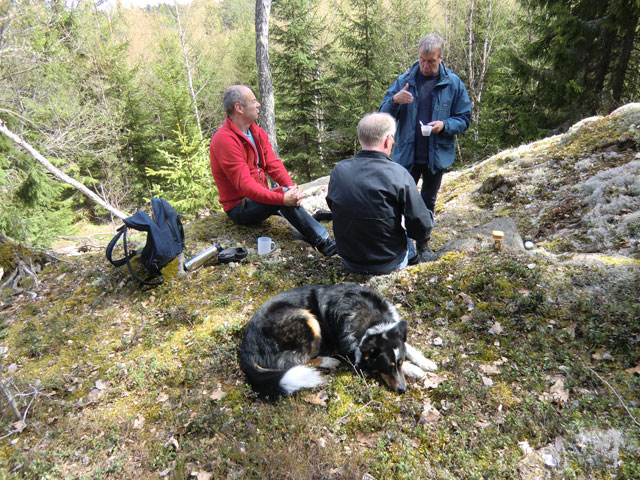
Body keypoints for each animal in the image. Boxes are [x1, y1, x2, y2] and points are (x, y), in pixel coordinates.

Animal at [238, 284, 438, 400]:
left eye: (400, 362)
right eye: (386, 367)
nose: (403, 390)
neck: (371, 320)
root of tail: (247, 349)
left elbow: (408, 347)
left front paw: (425, 362)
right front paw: (415, 370)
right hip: (306, 319)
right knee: (295, 362)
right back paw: (329, 361)